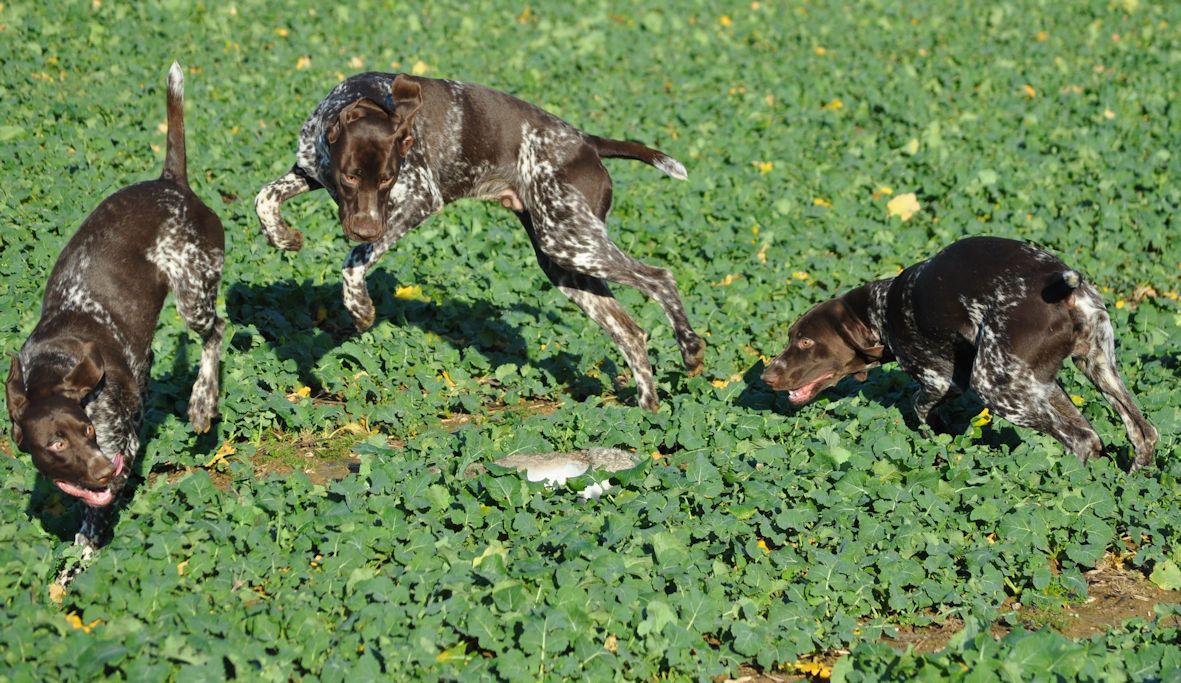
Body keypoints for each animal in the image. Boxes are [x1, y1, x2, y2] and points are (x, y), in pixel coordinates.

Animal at [6, 63, 225, 550]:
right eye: (57, 444)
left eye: (88, 432)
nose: (105, 468)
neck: (50, 369)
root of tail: (170, 183)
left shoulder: (119, 444)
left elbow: (93, 518)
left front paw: (83, 557)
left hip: (195, 290)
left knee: (216, 333)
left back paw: (202, 401)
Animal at [256, 71, 699, 408]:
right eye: (350, 176)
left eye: (387, 179)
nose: (367, 227)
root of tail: (588, 142)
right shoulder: (310, 170)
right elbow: (264, 198)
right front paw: (284, 237)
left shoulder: (418, 200)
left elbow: (353, 260)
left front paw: (360, 308)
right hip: (564, 258)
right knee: (630, 331)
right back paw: (646, 411)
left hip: (570, 240)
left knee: (660, 278)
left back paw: (691, 350)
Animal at [760, 236, 1157, 470]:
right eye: (791, 336)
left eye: (806, 342)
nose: (766, 375)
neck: (883, 310)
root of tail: (1063, 288)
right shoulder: (1043, 385)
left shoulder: (943, 382)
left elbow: (920, 408)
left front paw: (938, 440)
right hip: (1093, 367)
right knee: (1141, 432)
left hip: (995, 388)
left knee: (1083, 441)